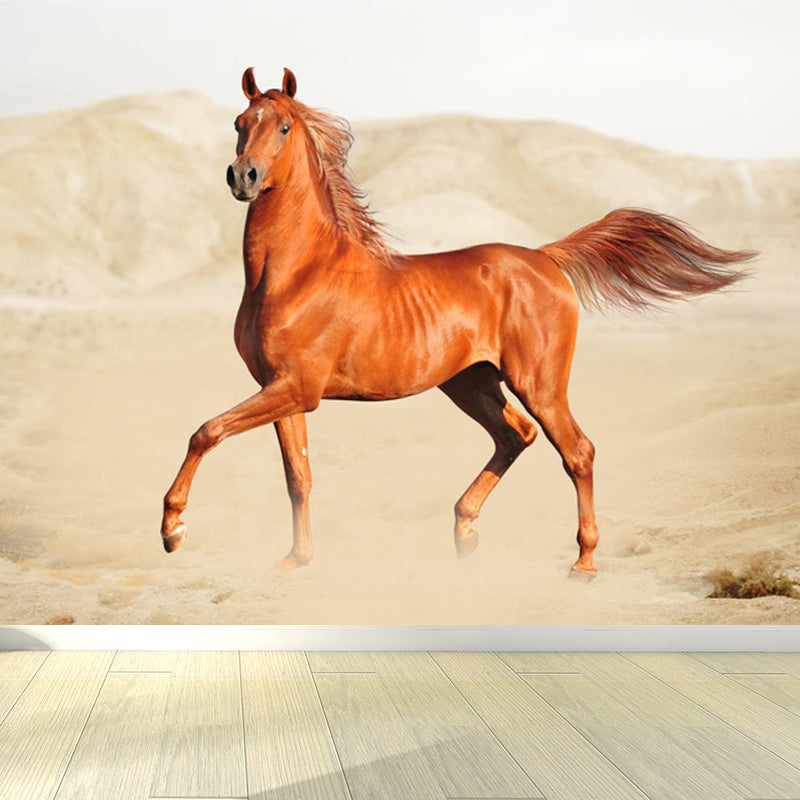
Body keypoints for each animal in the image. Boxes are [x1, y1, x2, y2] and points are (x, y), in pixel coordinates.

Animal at [160, 67, 754, 575]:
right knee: (516, 436)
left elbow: (205, 431)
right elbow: (297, 477)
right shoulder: (282, 389)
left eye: (283, 126)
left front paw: (173, 528)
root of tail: (545, 258)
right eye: (240, 124)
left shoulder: (296, 388)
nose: (243, 176)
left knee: (576, 451)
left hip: (537, 382)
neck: (297, 273)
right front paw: (295, 560)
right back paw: (465, 533)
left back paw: (583, 562)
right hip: (470, 382)